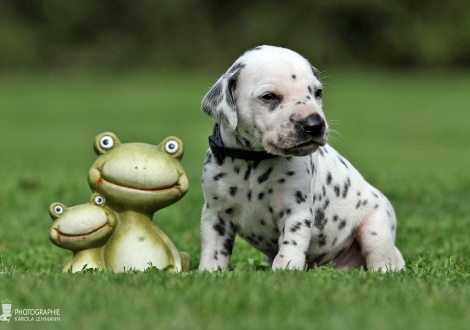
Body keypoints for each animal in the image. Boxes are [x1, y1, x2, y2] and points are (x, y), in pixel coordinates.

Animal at [197, 45, 404, 272]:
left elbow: (290, 245)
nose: (315, 125)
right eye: (269, 96)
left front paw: (285, 270)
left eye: (318, 92)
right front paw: (209, 272)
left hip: (376, 228)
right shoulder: (215, 215)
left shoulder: (295, 211)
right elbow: (214, 250)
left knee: (381, 258)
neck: (253, 161)